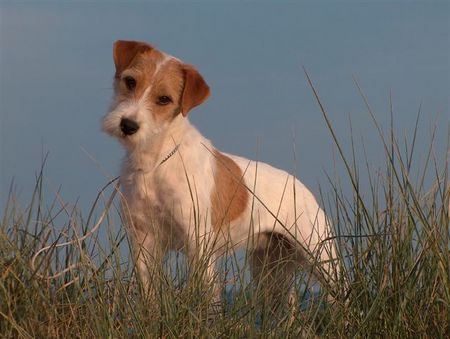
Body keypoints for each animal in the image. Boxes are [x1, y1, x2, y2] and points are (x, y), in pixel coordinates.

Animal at [102, 39, 338, 306]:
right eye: (130, 81)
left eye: (164, 99)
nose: (128, 125)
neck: (155, 163)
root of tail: (303, 189)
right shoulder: (144, 241)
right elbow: (149, 295)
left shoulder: (199, 244)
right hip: (269, 269)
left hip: (321, 259)